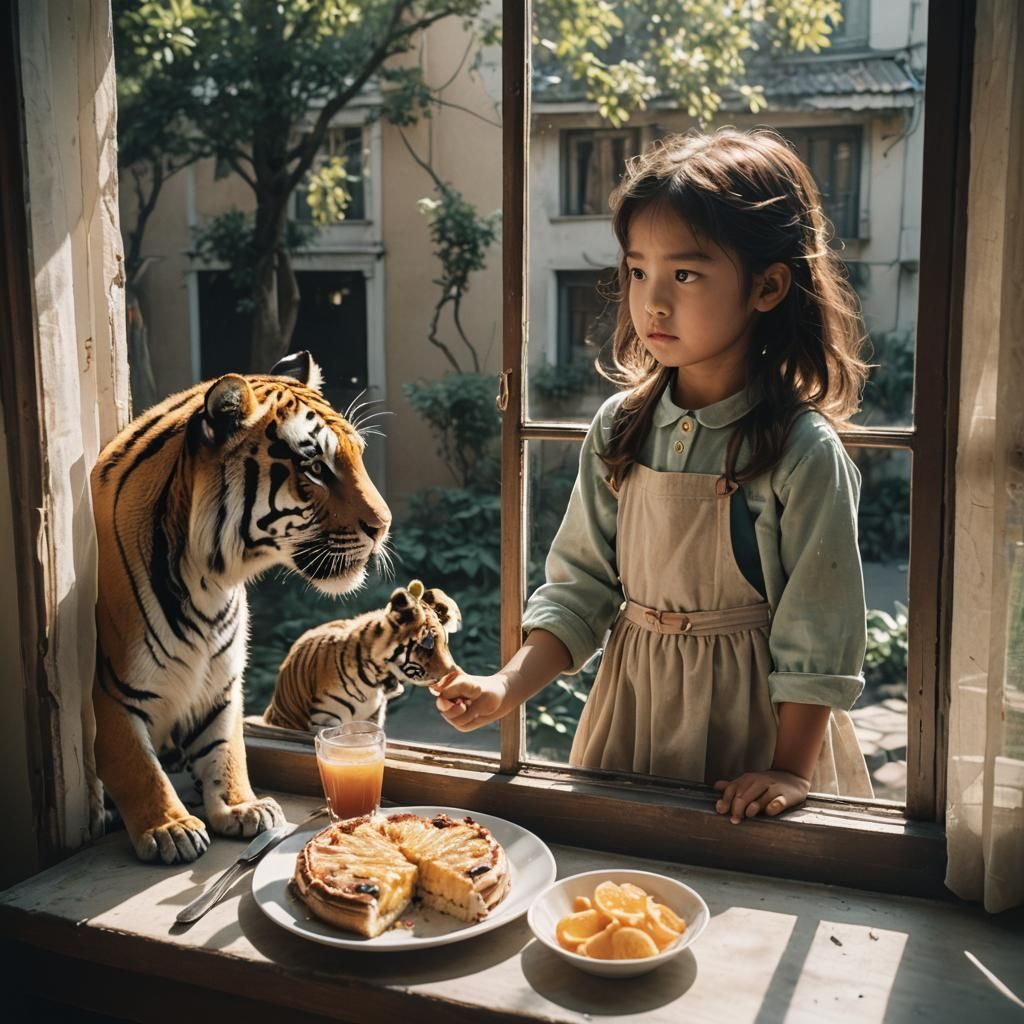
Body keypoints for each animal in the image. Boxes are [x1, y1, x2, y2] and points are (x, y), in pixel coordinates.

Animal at [90, 351, 391, 864]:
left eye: (358, 454)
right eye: (314, 467)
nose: (384, 525)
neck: (207, 581)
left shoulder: (222, 680)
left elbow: (226, 747)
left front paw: (240, 806)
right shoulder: (113, 689)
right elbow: (137, 764)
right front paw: (170, 828)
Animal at [264, 581, 462, 732]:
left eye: (445, 642)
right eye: (427, 644)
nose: (451, 673)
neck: (378, 679)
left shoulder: (372, 717)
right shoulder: (326, 719)